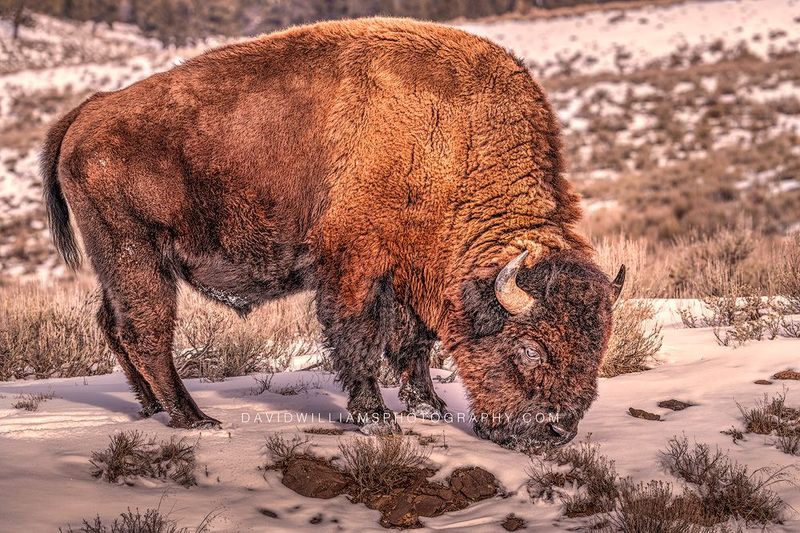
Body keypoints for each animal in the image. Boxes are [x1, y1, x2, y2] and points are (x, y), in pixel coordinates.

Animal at [41, 18, 623, 450]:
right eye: (528, 349)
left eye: (598, 345)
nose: (556, 431)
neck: (450, 142)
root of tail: (89, 110)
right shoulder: (355, 263)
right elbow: (359, 337)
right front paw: (376, 417)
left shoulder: (412, 272)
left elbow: (414, 341)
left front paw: (429, 407)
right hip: (137, 254)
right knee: (147, 333)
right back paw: (194, 419)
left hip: (118, 264)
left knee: (114, 325)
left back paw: (151, 409)